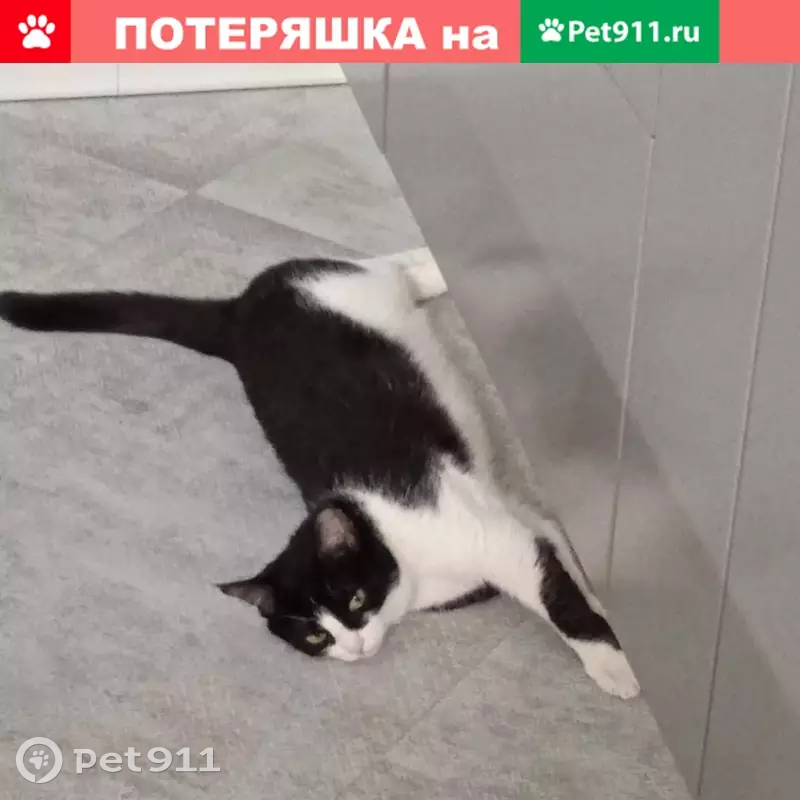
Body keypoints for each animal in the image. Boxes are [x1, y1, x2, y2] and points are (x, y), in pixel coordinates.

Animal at [0, 258, 639, 698]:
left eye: (353, 598)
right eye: (315, 637)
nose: (353, 648)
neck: (412, 563)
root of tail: (239, 311)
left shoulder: (484, 534)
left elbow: (555, 592)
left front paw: (613, 662)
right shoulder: (496, 523)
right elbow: (548, 541)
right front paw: (598, 597)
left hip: (338, 285)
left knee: (383, 263)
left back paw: (439, 266)